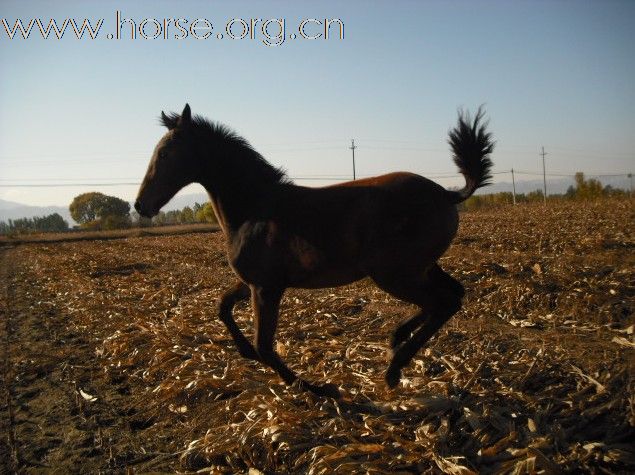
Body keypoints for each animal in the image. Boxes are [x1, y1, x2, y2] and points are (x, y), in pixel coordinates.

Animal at [134, 104, 494, 398]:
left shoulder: (265, 288)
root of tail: (447, 194)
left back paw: (394, 368)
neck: (256, 209)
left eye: (165, 153)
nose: (141, 205)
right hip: (422, 268)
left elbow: (265, 346)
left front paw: (315, 388)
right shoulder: (255, 282)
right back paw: (396, 342)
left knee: (442, 302)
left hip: (396, 274)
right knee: (453, 296)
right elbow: (223, 308)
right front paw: (244, 351)